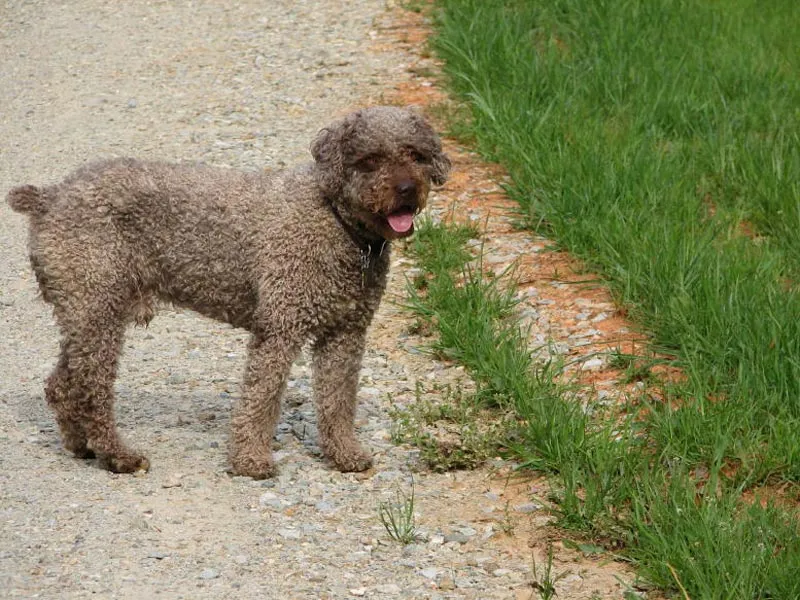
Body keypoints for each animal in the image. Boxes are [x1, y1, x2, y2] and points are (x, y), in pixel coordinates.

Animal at [7, 104, 450, 478]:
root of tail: (49, 196)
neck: (334, 219)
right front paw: (250, 460)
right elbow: (261, 398)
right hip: (97, 307)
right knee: (90, 390)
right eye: (369, 160)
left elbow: (338, 400)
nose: (407, 188)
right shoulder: (279, 329)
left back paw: (80, 445)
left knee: (62, 384)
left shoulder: (345, 334)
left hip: (86, 313)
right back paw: (118, 456)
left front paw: (344, 454)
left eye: (415, 154)